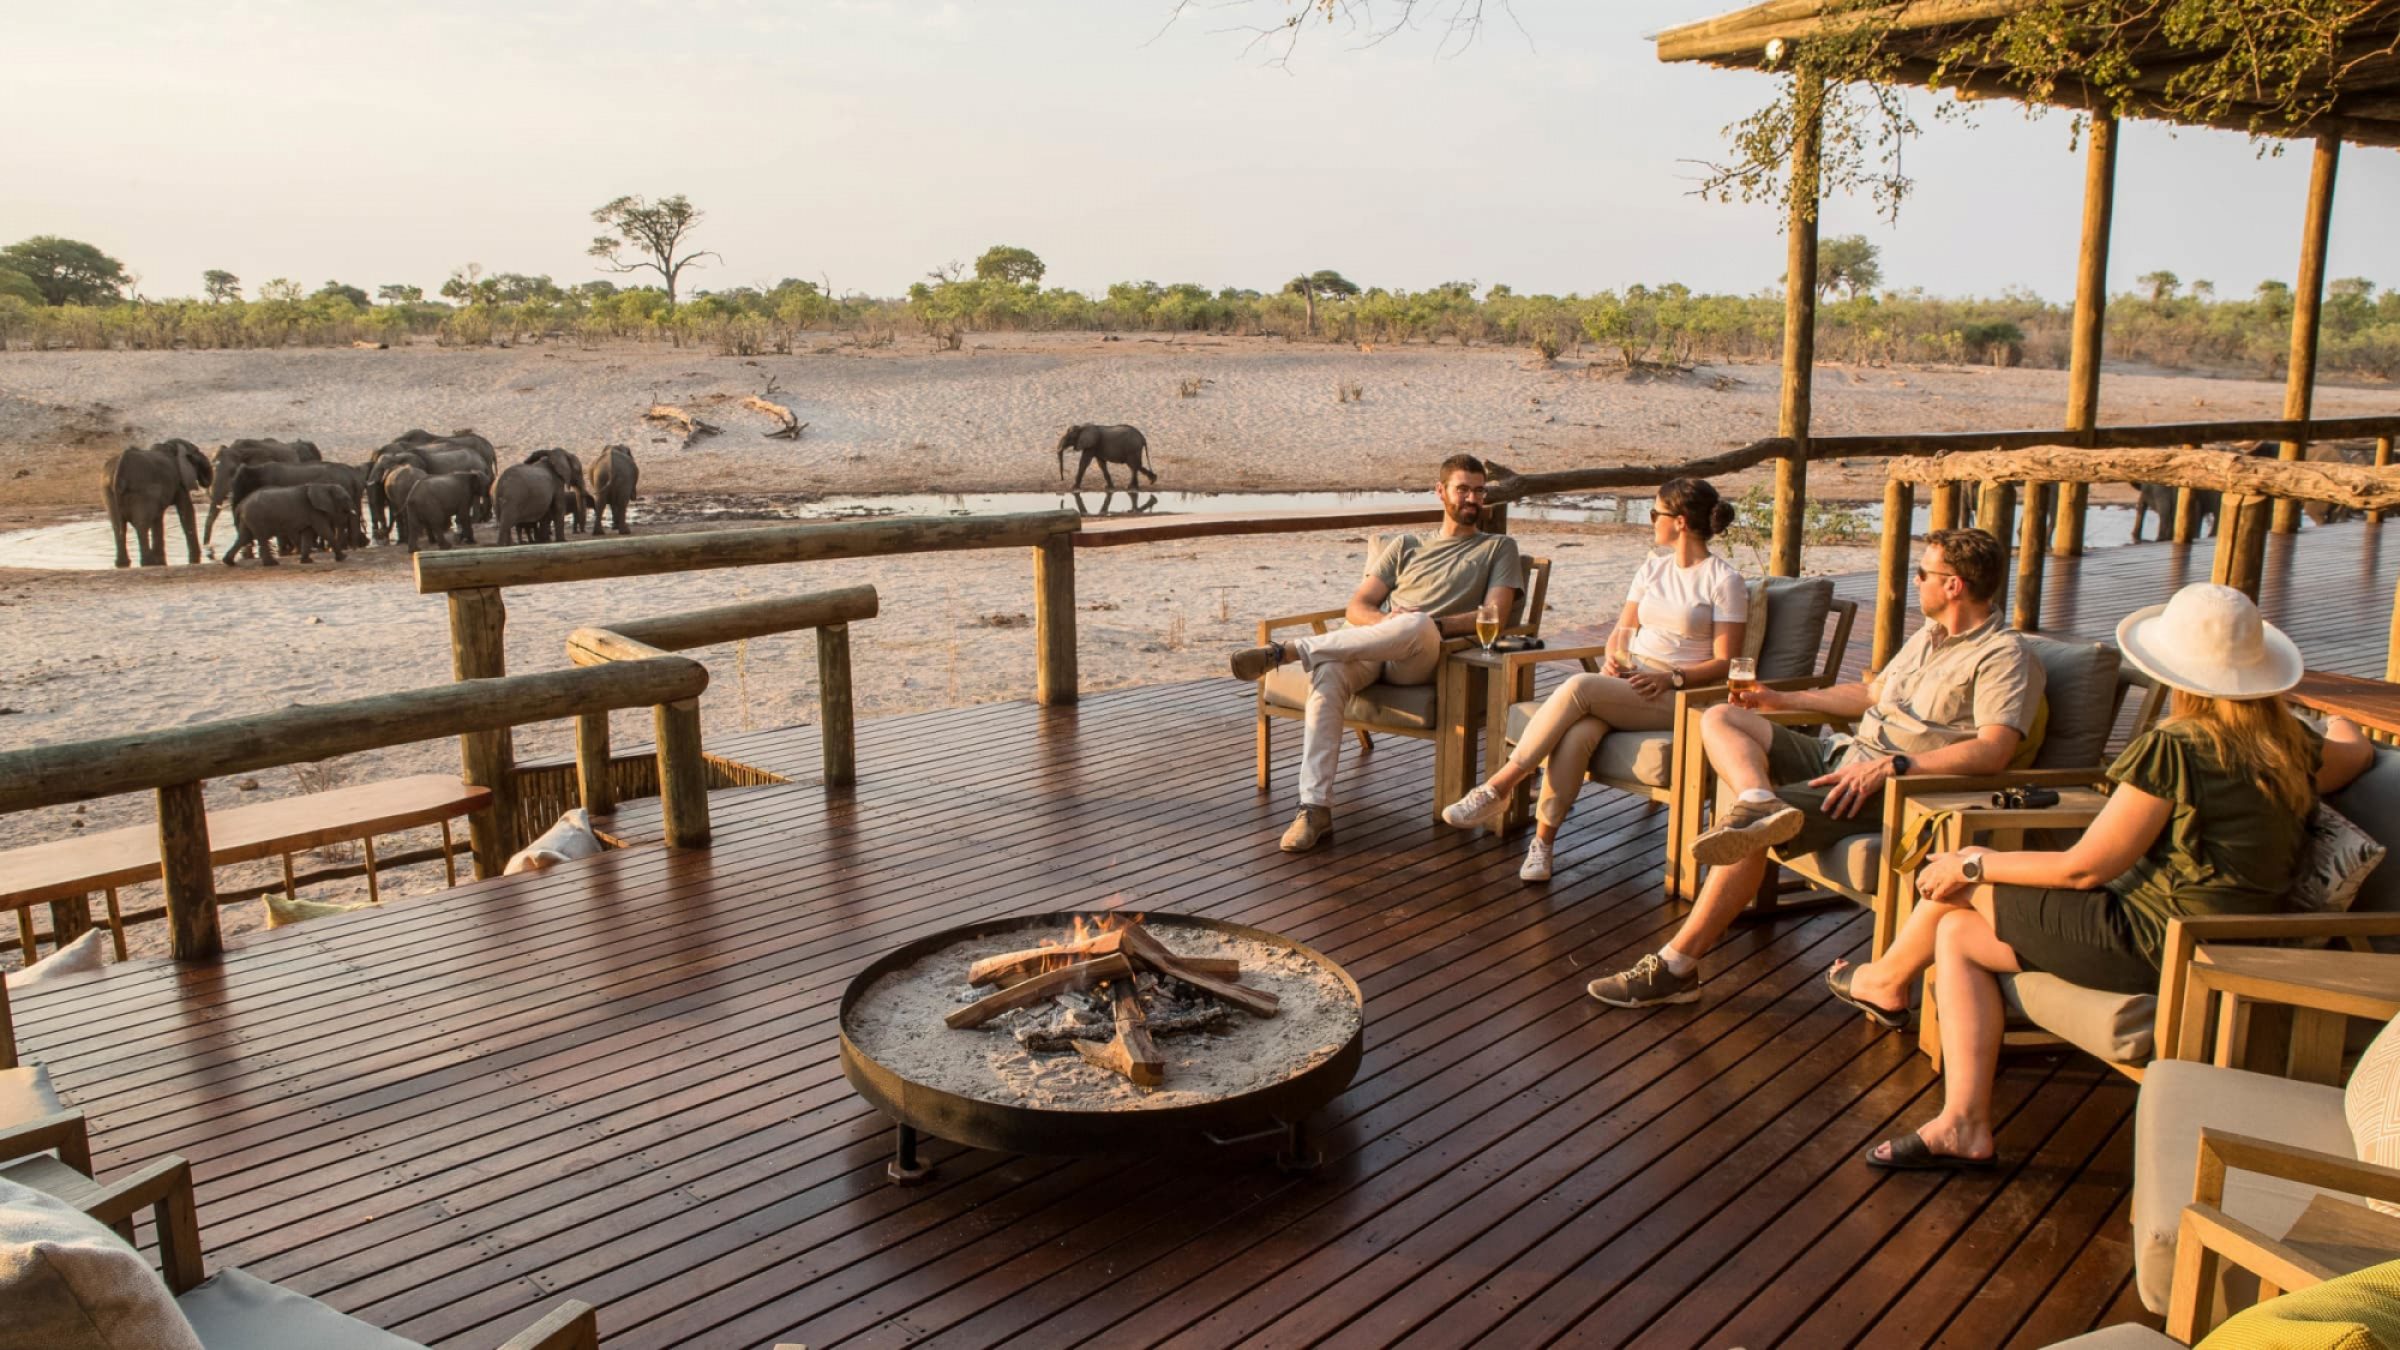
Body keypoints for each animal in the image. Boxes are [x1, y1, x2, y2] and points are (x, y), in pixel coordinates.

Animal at [220, 482, 350, 562]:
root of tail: (242, 504)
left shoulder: (311, 512)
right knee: (260, 537)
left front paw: (307, 561)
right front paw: (343, 558)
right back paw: (272, 564)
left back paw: (228, 562)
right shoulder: (315, 511)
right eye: (344, 498)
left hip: (249, 518)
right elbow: (324, 532)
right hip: (256, 517)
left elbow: (308, 533)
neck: (324, 485)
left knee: (244, 537)